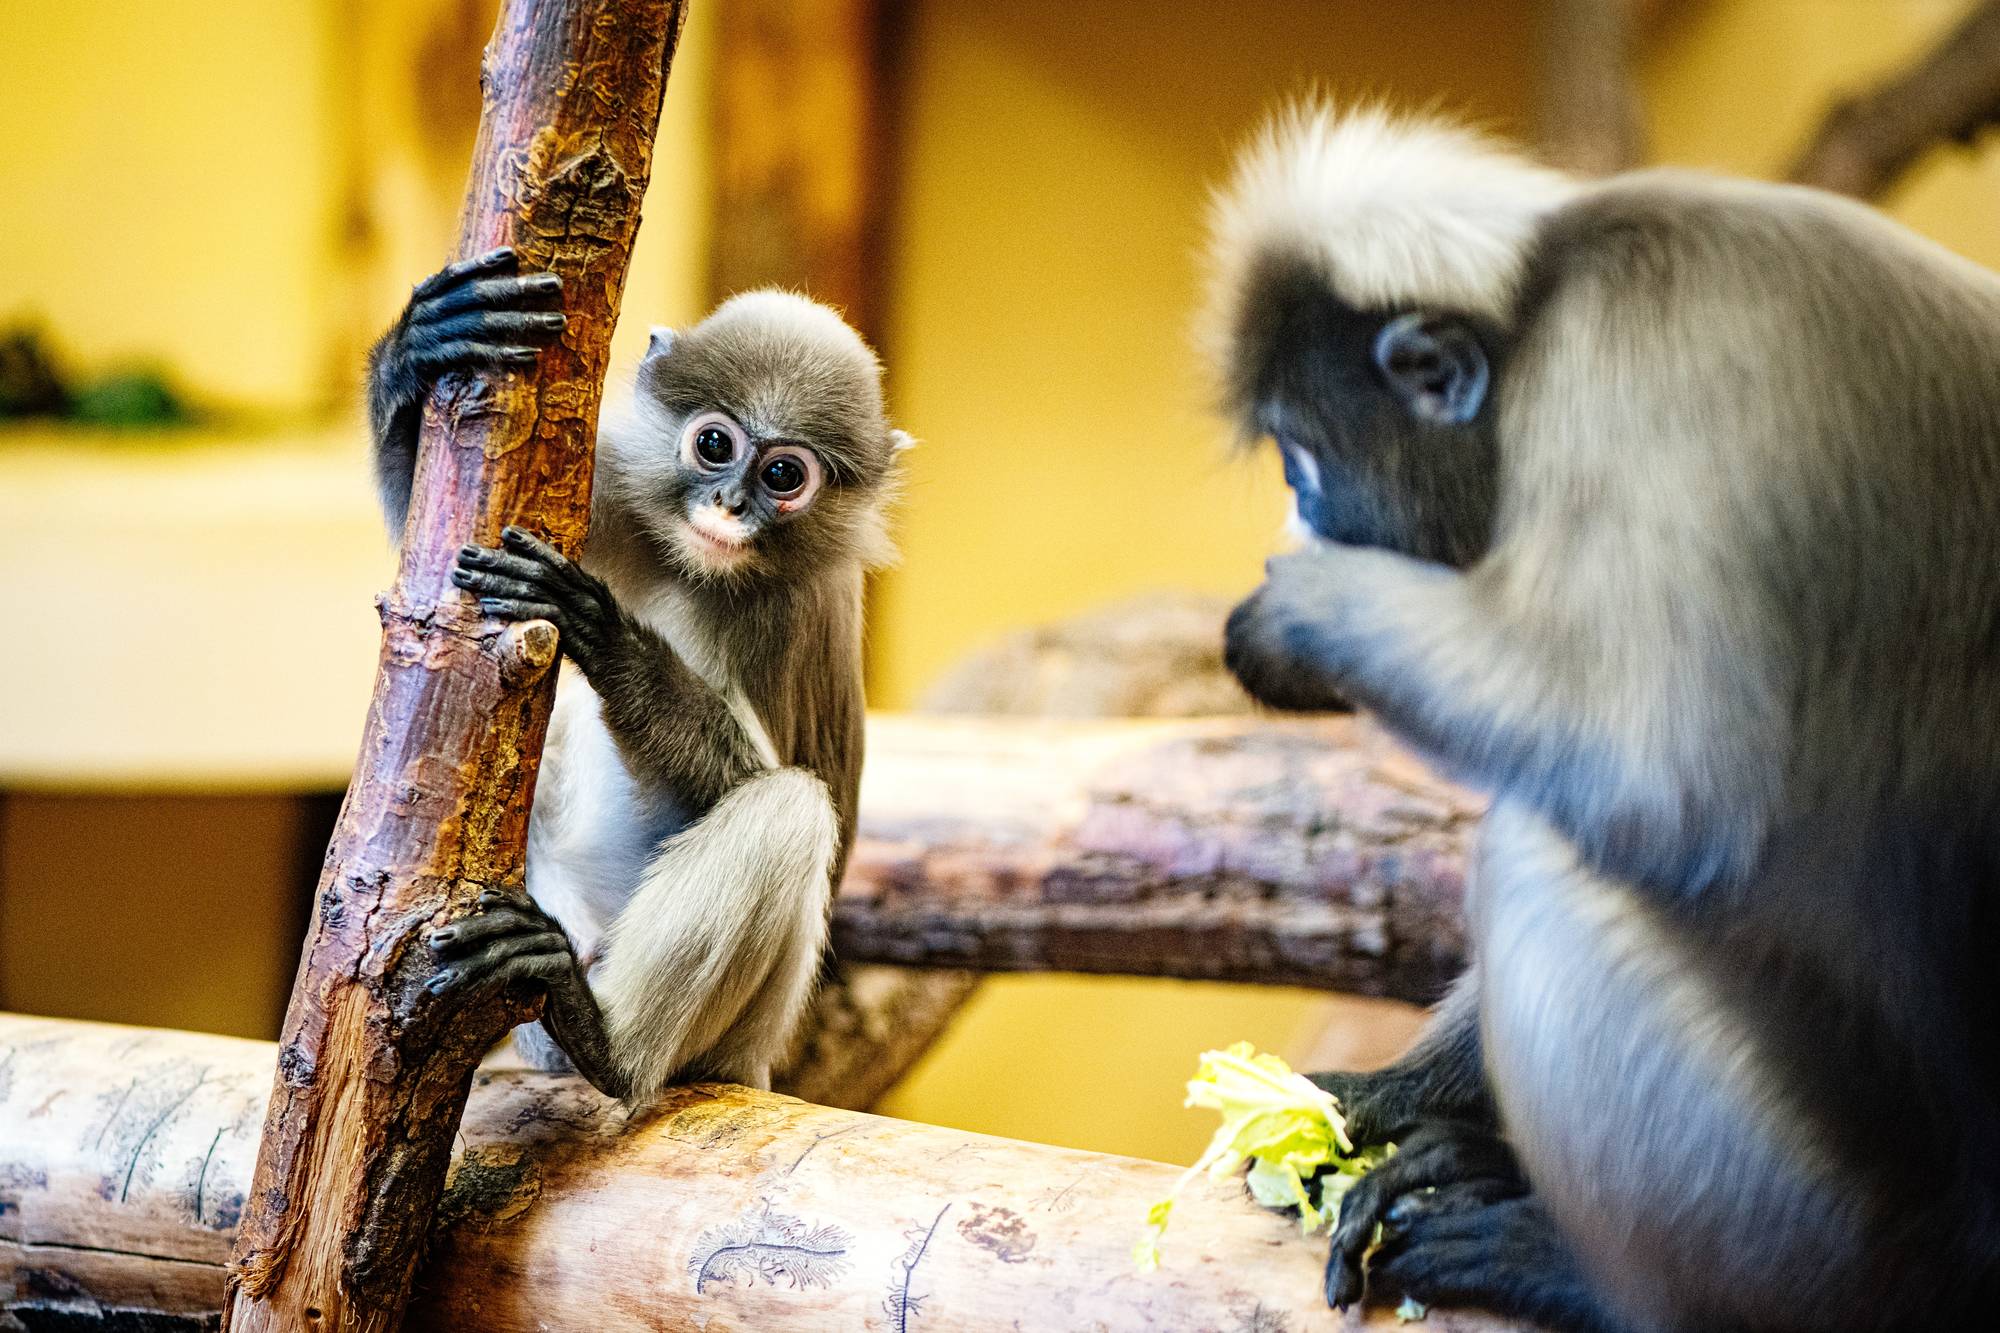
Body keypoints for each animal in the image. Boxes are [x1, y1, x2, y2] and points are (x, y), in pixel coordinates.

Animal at [366, 247, 908, 1102]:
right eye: (715, 445)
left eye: (784, 475)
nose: (729, 504)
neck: (699, 570)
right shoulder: (617, 493)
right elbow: (432, 555)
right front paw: (423, 344)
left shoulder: (794, 610)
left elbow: (758, 782)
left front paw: (605, 632)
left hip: (741, 1027)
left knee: (790, 808)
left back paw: (599, 1034)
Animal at [1207, 106, 2000, 1332]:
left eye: (1302, 456)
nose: (1300, 509)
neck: (1546, 297)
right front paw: (1378, 1101)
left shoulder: (1640, 361)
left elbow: (1662, 779)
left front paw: (1297, 616)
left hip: (1850, 1236)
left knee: (1542, 856)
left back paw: (1568, 1270)